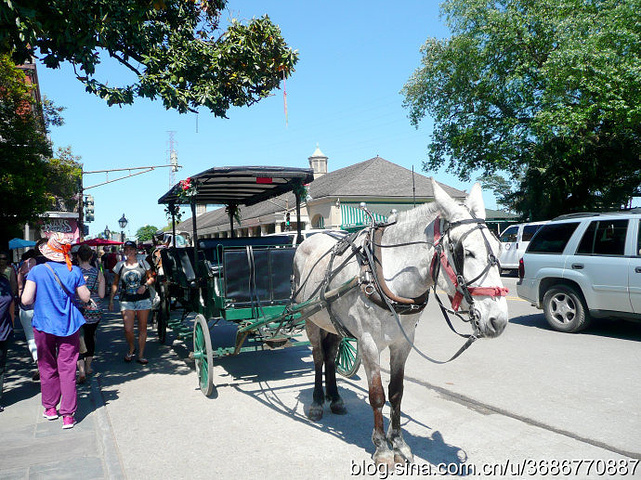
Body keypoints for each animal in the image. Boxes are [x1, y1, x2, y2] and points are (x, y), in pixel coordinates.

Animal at [292, 180, 508, 467]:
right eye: (467, 252)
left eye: (498, 248)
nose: (498, 320)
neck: (386, 276)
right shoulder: (368, 343)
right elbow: (377, 394)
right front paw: (382, 447)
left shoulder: (402, 343)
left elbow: (396, 392)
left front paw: (399, 443)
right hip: (310, 320)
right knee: (318, 357)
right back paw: (317, 402)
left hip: (332, 321)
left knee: (330, 356)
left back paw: (335, 398)